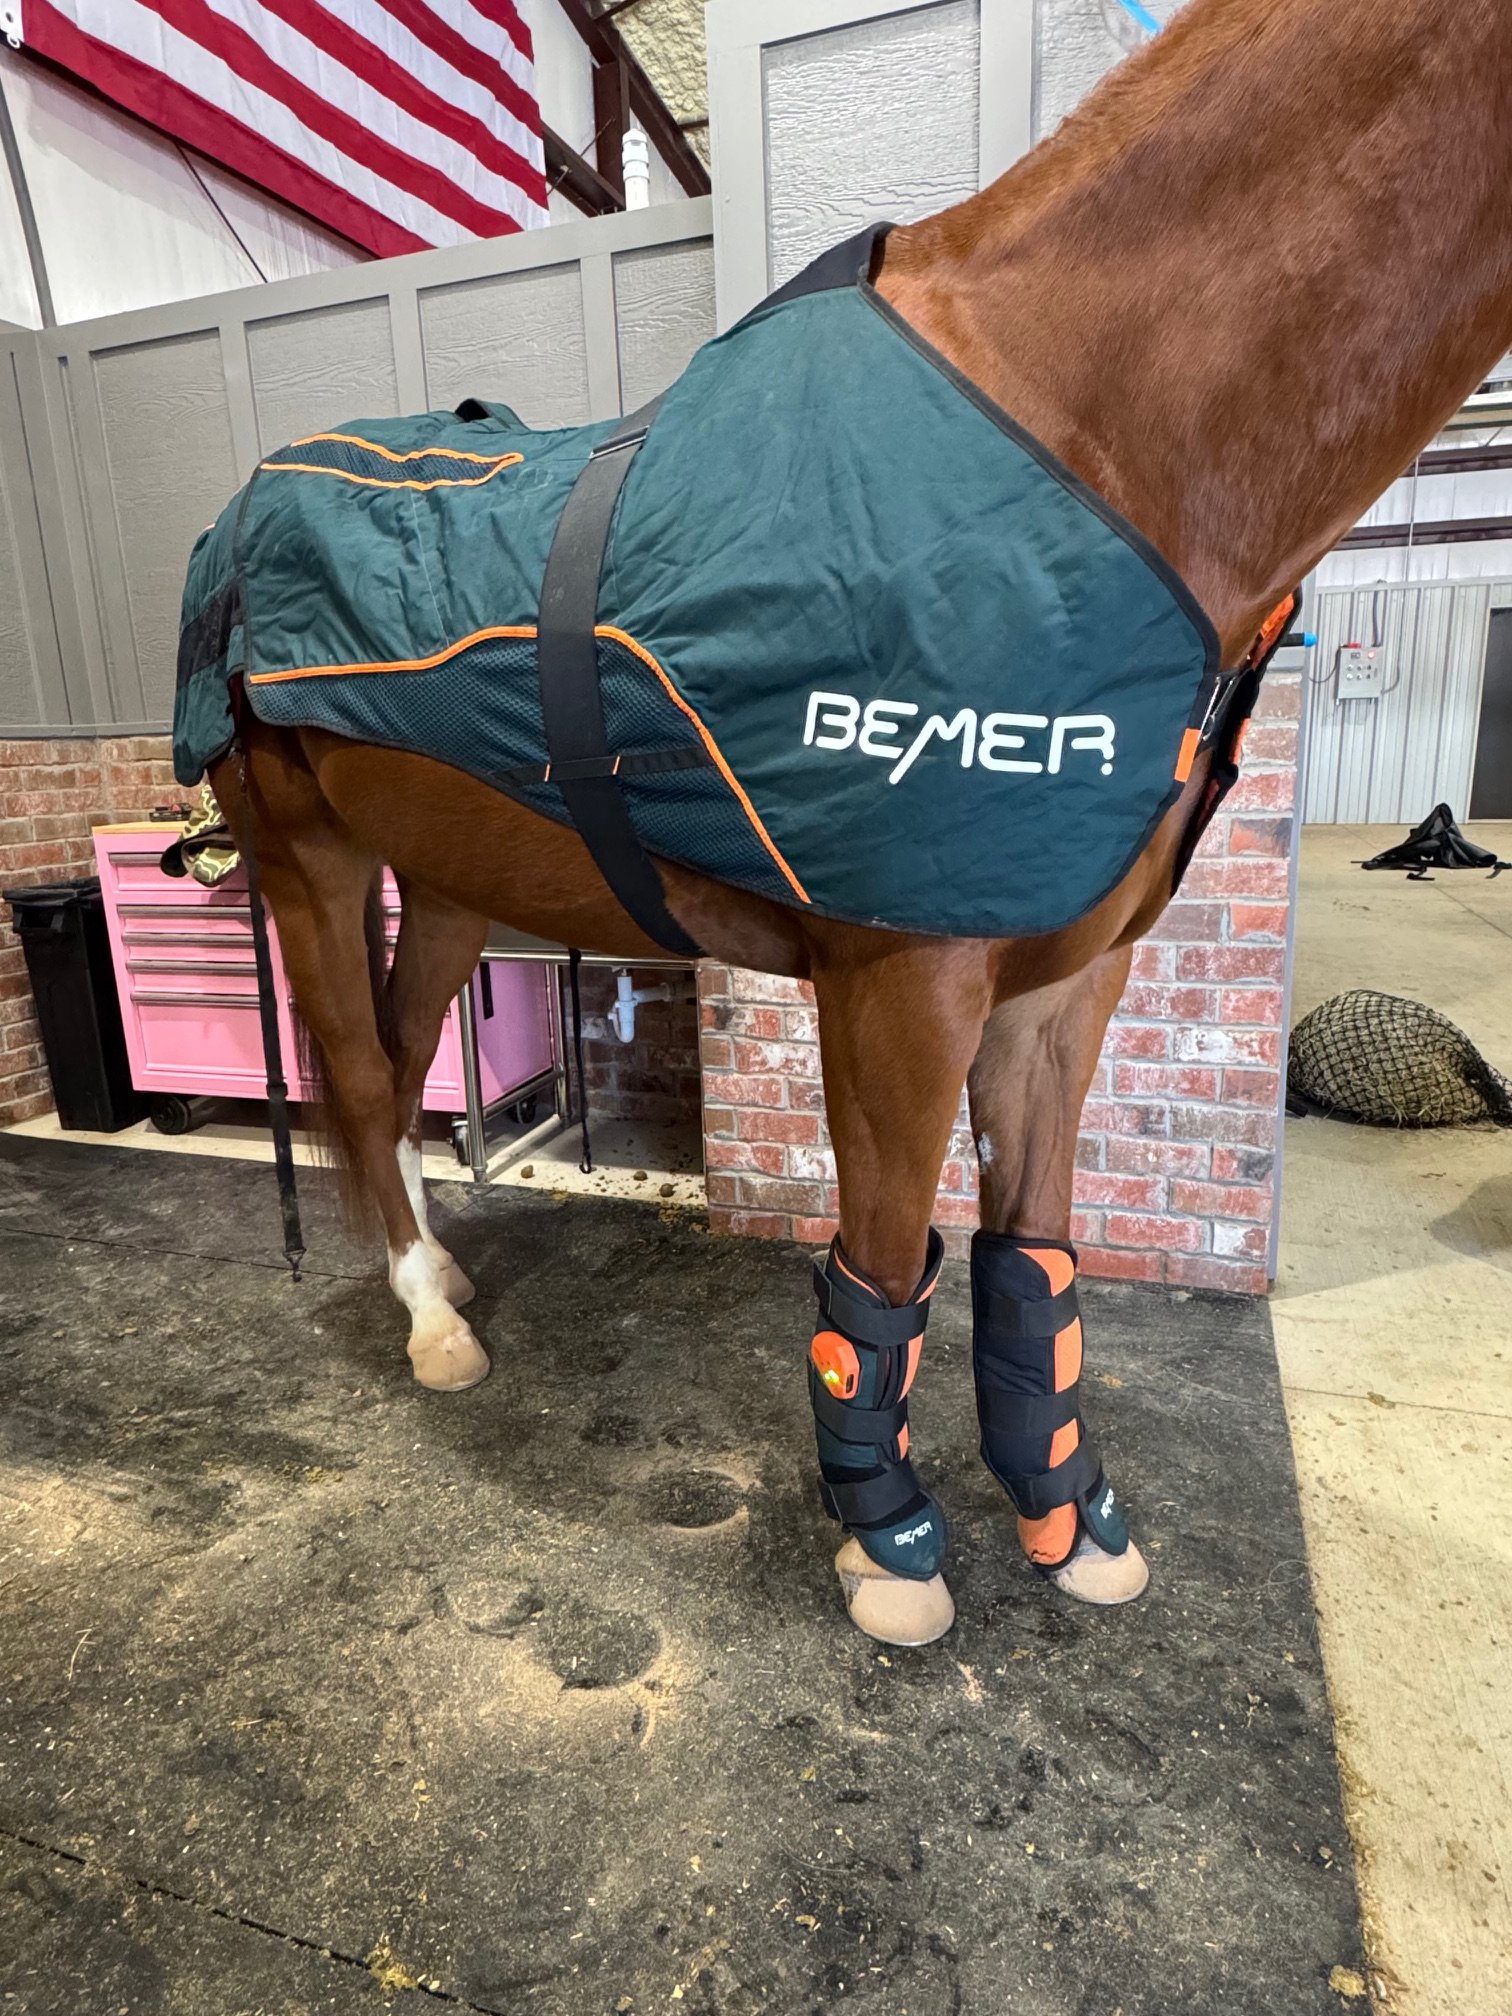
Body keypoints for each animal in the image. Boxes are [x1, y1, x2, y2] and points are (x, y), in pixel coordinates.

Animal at [205, 0, 1512, 1646]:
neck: (1076, 428)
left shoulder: (1062, 992)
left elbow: (1034, 1265)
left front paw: (1065, 1516)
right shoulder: (903, 979)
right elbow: (884, 1269)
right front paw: (887, 1539)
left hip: (443, 885)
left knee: (393, 1051)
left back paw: (439, 1262)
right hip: (302, 859)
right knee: (368, 1078)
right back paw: (431, 1316)